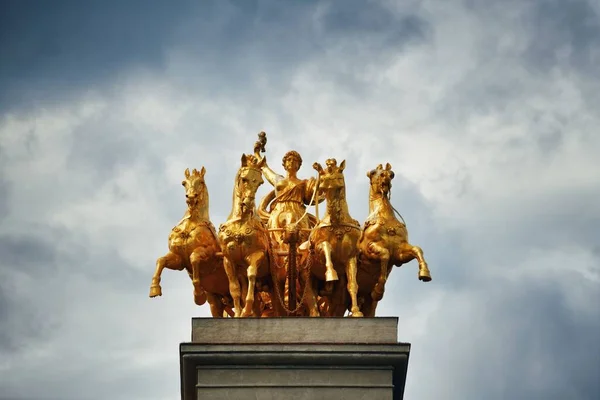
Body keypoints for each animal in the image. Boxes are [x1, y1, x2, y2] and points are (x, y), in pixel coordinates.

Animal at [149, 167, 233, 318]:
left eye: (201, 182)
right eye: (184, 183)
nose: (191, 197)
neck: (191, 223)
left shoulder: (209, 253)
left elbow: (194, 258)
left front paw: (198, 294)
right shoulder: (179, 260)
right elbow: (161, 260)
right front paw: (154, 289)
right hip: (216, 300)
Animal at [218, 155, 282, 318]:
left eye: (260, 182)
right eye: (244, 179)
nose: (247, 204)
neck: (240, 221)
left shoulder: (256, 255)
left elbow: (252, 273)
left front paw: (246, 308)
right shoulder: (228, 260)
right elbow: (234, 288)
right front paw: (239, 313)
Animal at [308, 159, 364, 318]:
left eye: (337, 174)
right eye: (322, 176)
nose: (319, 188)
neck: (337, 223)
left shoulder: (351, 258)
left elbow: (353, 285)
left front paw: (356, 311)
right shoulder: (319, 248)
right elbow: (327, 249)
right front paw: (330, 274)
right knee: (310, 297)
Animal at [356, 162, 432, 316]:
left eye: (391, 174)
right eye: (372, 172)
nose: (385, 175)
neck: (385, 218)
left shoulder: (399, 253)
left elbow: (417, 249)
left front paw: (424, 273)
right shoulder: (369, 249)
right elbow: (384, 255)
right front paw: (378, 290)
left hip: (367, 302)